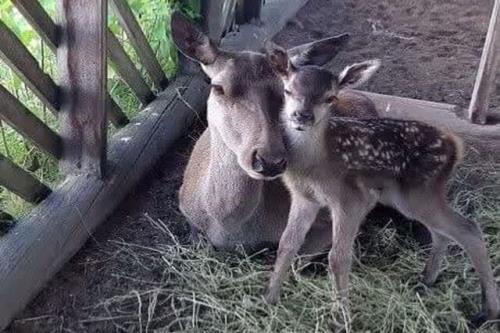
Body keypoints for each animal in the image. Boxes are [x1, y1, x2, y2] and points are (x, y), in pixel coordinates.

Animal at [264, 43, 498, 322]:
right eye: (287, 90)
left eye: (330, 97)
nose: (302, 116)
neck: (316, 164)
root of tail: (456, 145)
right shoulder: (305, 197)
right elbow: (287, 244)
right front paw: (269, 299)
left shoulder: (352, 198)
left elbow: (338, 257)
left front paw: (342, 317)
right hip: (408, 197)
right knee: (442, 232)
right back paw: (427, 279)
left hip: (421, 192)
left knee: (468, 229)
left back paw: (487, 310)